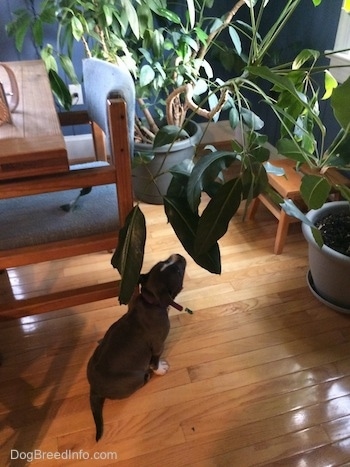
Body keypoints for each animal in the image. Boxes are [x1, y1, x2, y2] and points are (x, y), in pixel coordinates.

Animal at [87, 254, 186, 440]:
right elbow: (155, 361)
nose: (178, 255)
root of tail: (94, 389)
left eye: (164, 261)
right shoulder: (158, 345)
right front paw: (161, 369)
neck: (150, 300)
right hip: (135, 378)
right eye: (178, 271)